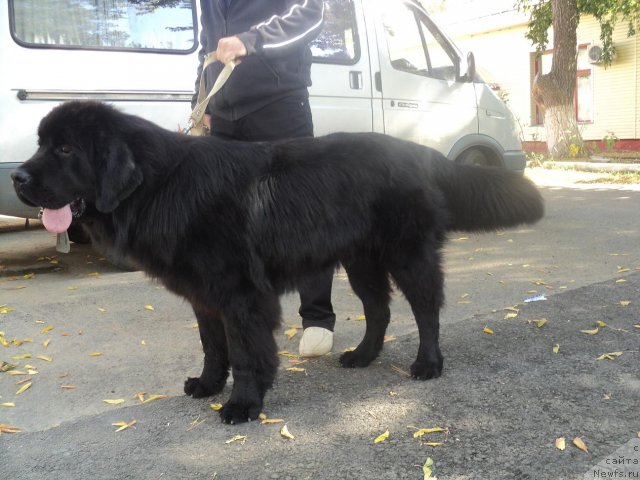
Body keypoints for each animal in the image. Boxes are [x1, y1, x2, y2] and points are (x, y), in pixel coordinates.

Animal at [11, 101, 540, 424]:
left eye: (65, 148)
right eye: (40, 143)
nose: (17, 177)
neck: (163, 184)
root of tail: (421, 152)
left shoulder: (241, 295)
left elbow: (246, 354)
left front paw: (243, 404)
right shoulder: (205, 296)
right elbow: (213, 347)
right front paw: (208, 385)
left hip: (407, 255)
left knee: (426, 309)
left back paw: (428, 364)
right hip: (361, 259)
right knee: (379, 310)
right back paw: (363, 356)